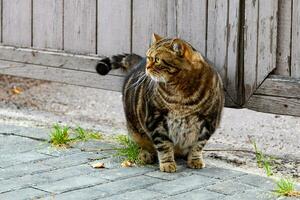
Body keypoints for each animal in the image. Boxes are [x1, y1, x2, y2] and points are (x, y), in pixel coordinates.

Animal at [96, 33, 225, 173]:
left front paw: (195, 160)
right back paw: (145, 155)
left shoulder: (209, 121)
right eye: (149, 57)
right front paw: (167, 163)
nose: (147, 67)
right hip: (135, 131)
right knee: (141, 146)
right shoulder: (156, 120)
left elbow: (198, 145)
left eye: (157, 59)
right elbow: (164, 145)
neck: (182, 93)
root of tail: (138, 62)